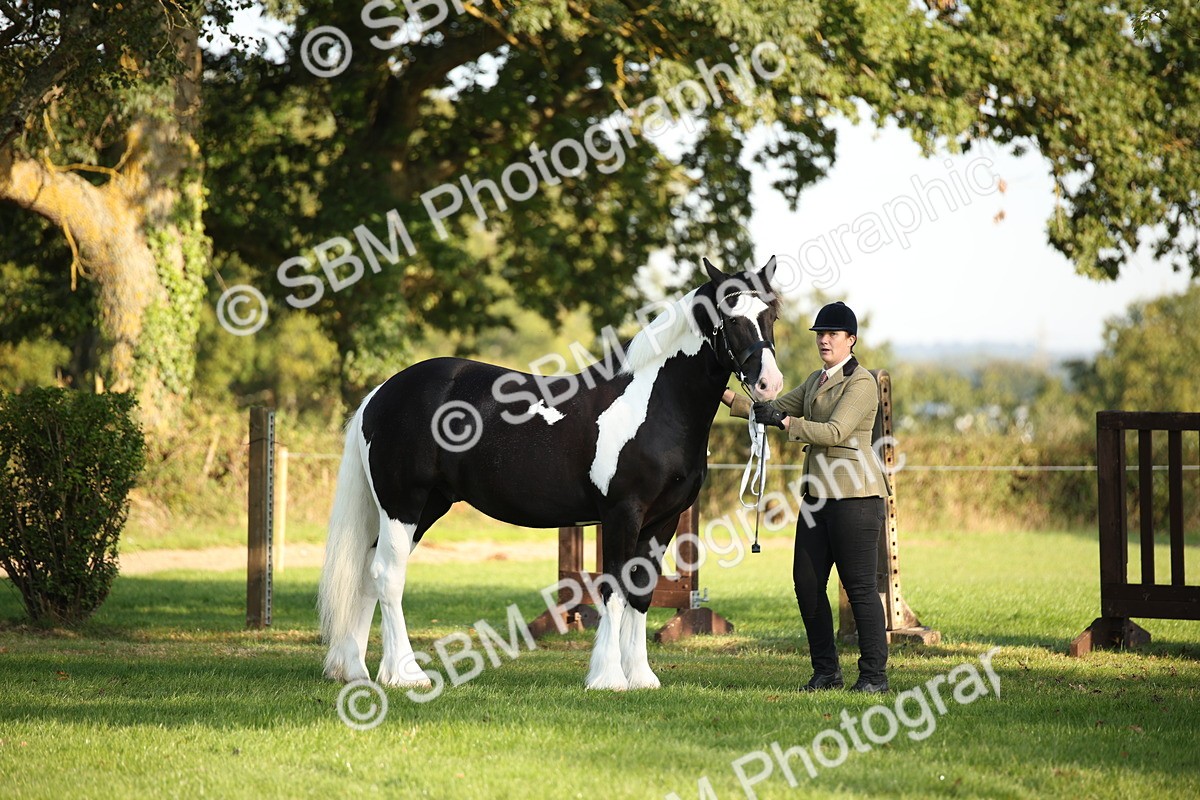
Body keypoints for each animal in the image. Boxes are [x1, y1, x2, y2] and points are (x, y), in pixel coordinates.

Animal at [318, 256, 784, 691]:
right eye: (731, 316)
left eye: (772, 315)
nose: (769, 385)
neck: (654, 405)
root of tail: (381, 394)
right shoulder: (623, 514)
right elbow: (613, 589)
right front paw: (609, 677)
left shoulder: (663, 521)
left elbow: (641, 593)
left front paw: (641, 676)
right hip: (404, 503)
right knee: (388, 575)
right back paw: (405, 674)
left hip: (427, 506)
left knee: (366, 572)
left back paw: (355, 669)